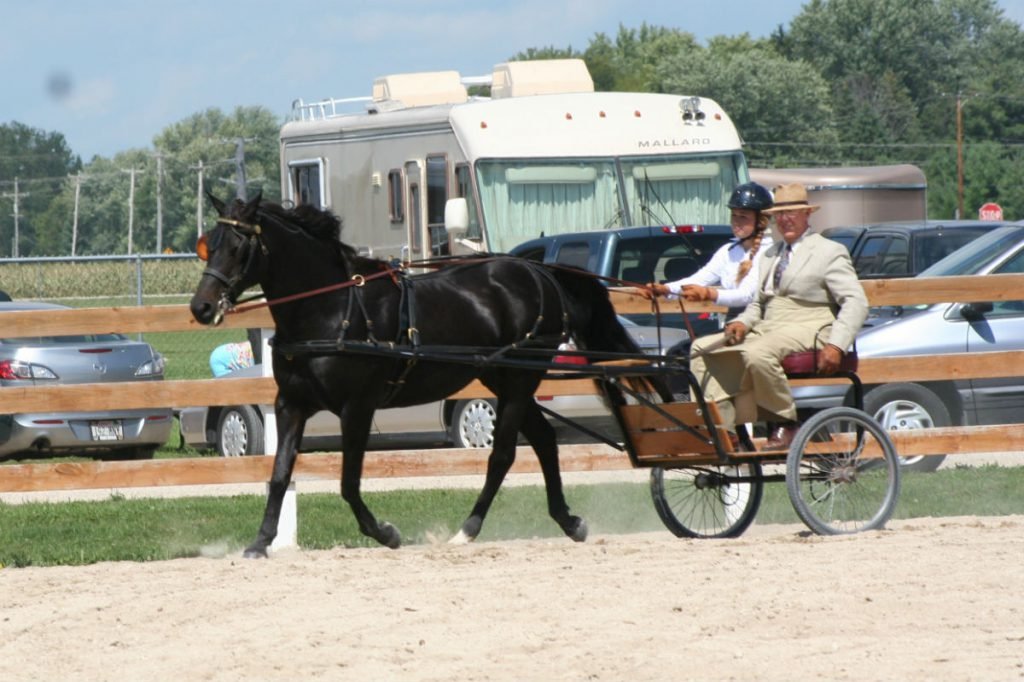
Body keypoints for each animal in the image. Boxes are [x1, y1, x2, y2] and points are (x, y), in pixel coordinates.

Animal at [190, 193, 670, 557]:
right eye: (207, 244)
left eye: (238, 246)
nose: (201, 306)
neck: (331, 308)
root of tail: (539, 271)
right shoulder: (291, 404)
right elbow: (279, 473)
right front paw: (260, 542)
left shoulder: (357, 408)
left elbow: (348, 482)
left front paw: (385, 533)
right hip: (504, 380)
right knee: (546, 442)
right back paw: (568, 522)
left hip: (516, 383)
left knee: (503, 456)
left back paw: (469, 529)